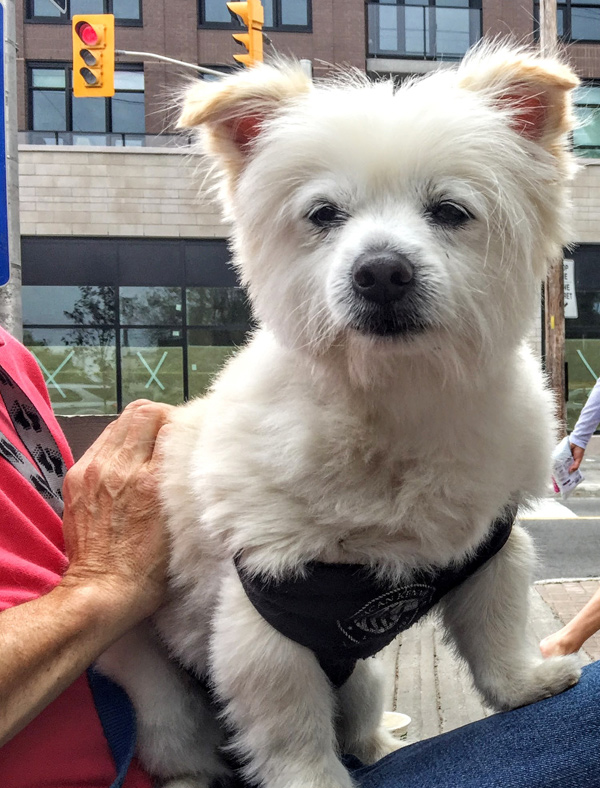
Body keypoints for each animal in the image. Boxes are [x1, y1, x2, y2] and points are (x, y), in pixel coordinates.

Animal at [101, 44, 584, 788]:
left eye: (450, 211)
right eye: (324, 213)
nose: (381, 270)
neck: (392, 404)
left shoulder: (489, 554)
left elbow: (497, 637)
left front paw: (525, 685)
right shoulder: (266, 623)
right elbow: (292, 738)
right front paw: (314, 780)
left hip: (363, 679)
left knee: (355, 721)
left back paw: (379, 744)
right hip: (165, 701)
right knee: (184, 750)